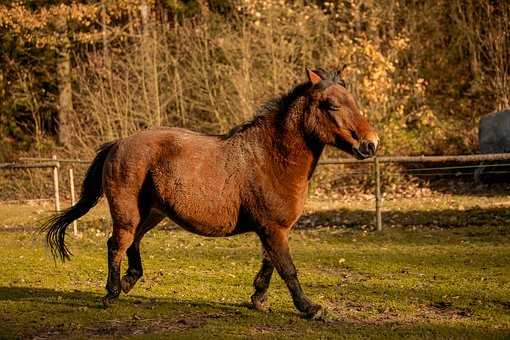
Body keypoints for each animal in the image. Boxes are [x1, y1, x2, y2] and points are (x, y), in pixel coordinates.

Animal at [44, 68, 378, 318]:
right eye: (332, 105)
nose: (371, 144)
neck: (270, 157)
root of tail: (118, 143)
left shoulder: (273, 229)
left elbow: (270, 263)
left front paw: (258, 298)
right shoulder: (273, 228)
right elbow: (287, 268)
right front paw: (310, 309)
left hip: (150, 213)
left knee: (132, 243)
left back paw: (128, 282)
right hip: (127, 212)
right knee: (117, 244)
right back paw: (112, 293)